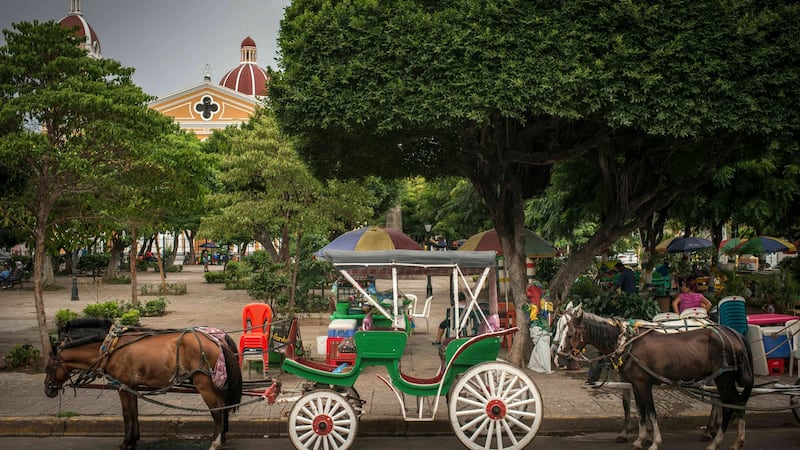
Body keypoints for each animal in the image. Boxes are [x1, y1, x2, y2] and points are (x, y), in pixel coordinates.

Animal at [43, 318, 242, 448]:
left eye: (50, 366)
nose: (48, 389)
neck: (110, 347)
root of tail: (217, 342)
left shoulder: (122, 386)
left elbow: (126, 413)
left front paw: (126, 443)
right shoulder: (132, 386)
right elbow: (134, 412)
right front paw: (134, 439)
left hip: (204, 382)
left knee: (217, 409)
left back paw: (215, 442)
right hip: (217, 383)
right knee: (223, 405)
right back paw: (221, 436)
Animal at [556, 306, 752, 450]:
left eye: (570, 333)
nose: (559, 357)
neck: (627, 344)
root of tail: (733, 334)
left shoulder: (643, 384)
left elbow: (650, 412)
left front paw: (654, 441)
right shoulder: (635, 383)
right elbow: (638, 410)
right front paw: (639, 439)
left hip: (724, 379)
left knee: (731, 404)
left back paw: (718, 440)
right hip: (719, 379)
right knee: (733, 403)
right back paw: (730, 438)